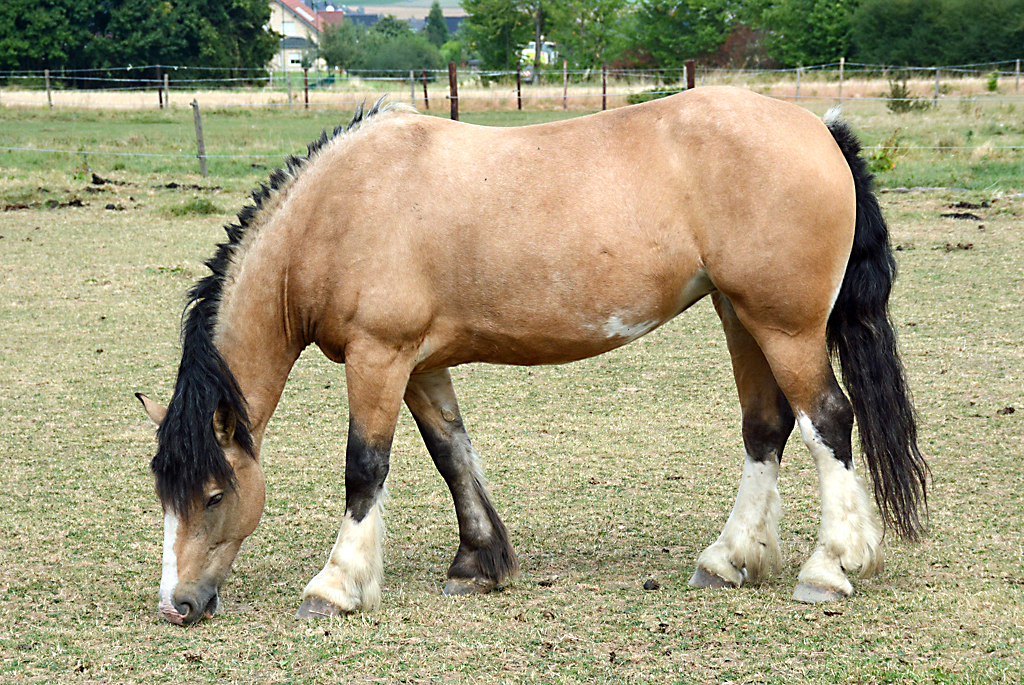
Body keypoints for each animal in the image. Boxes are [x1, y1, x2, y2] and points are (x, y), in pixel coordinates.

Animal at [136, 87, 929, 626]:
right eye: (164, 494)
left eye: (214, 494)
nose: (178, 604)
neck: (341, 208)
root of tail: (818, 126)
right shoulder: (420, 365)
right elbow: (452, 452)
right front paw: (477, 562)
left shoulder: (377, 356)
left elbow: (366, 467)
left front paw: (336, 585)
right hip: (742, 317)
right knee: (766, 429)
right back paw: (728, 560)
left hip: (785, 325)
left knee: (828, 420)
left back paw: (830, 567)